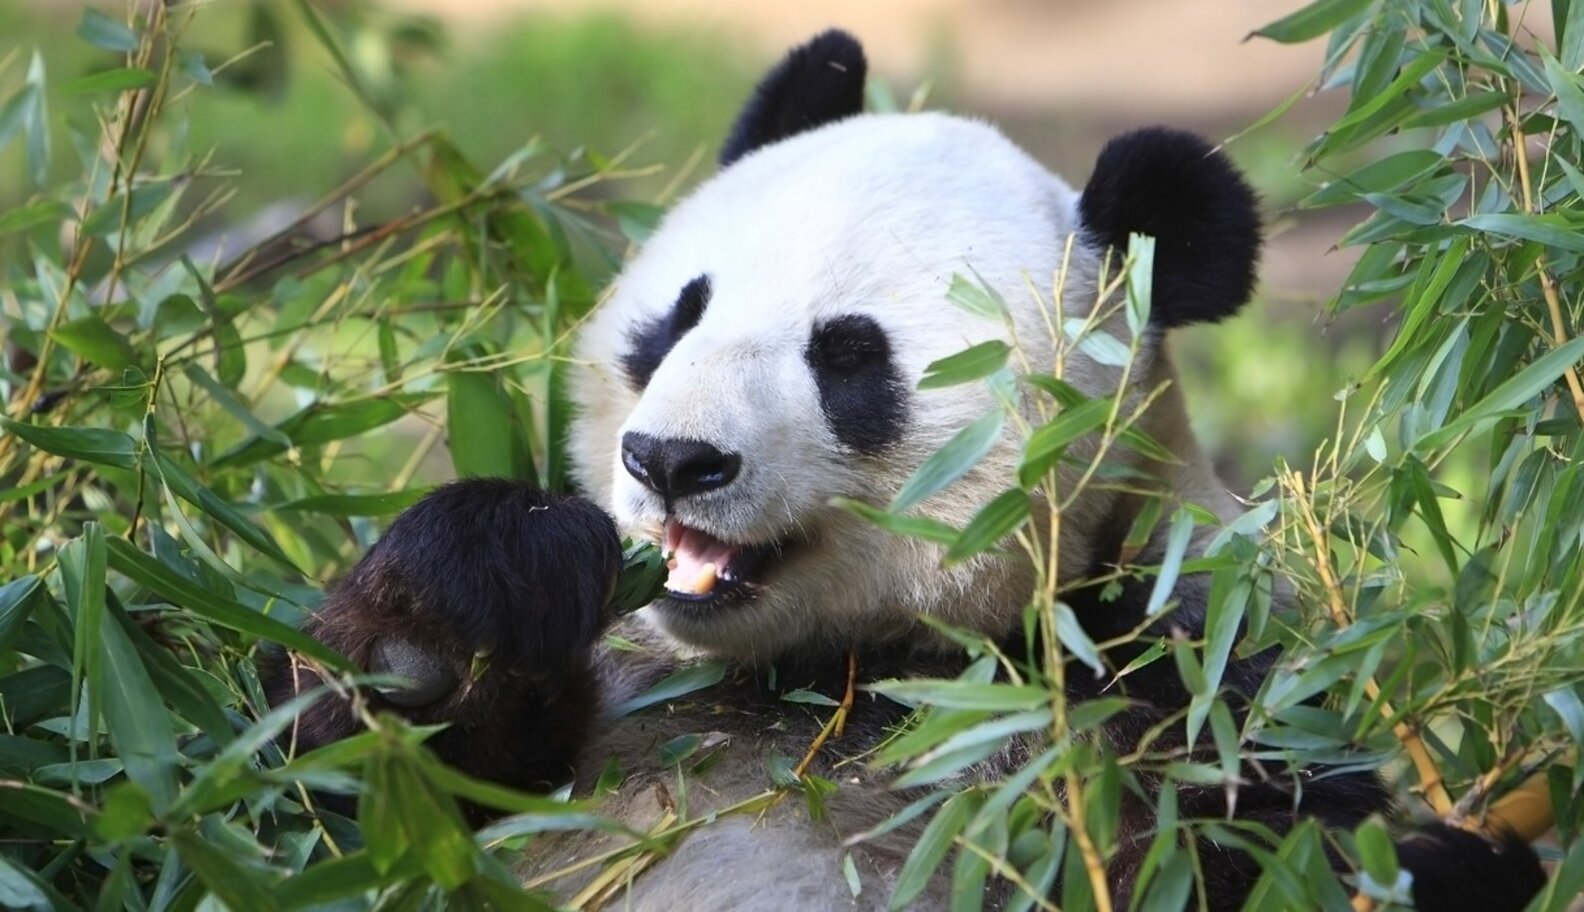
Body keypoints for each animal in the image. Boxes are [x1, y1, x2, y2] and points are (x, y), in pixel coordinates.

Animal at [268, 29, 1546, 912]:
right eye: (679, 315)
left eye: (847, 355)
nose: (672, 460)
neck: (837, 674)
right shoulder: (619, 687)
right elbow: (334, 802)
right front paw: (465, 603)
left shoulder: (1200, 681)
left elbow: (1294, 834)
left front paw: (1450, 860)